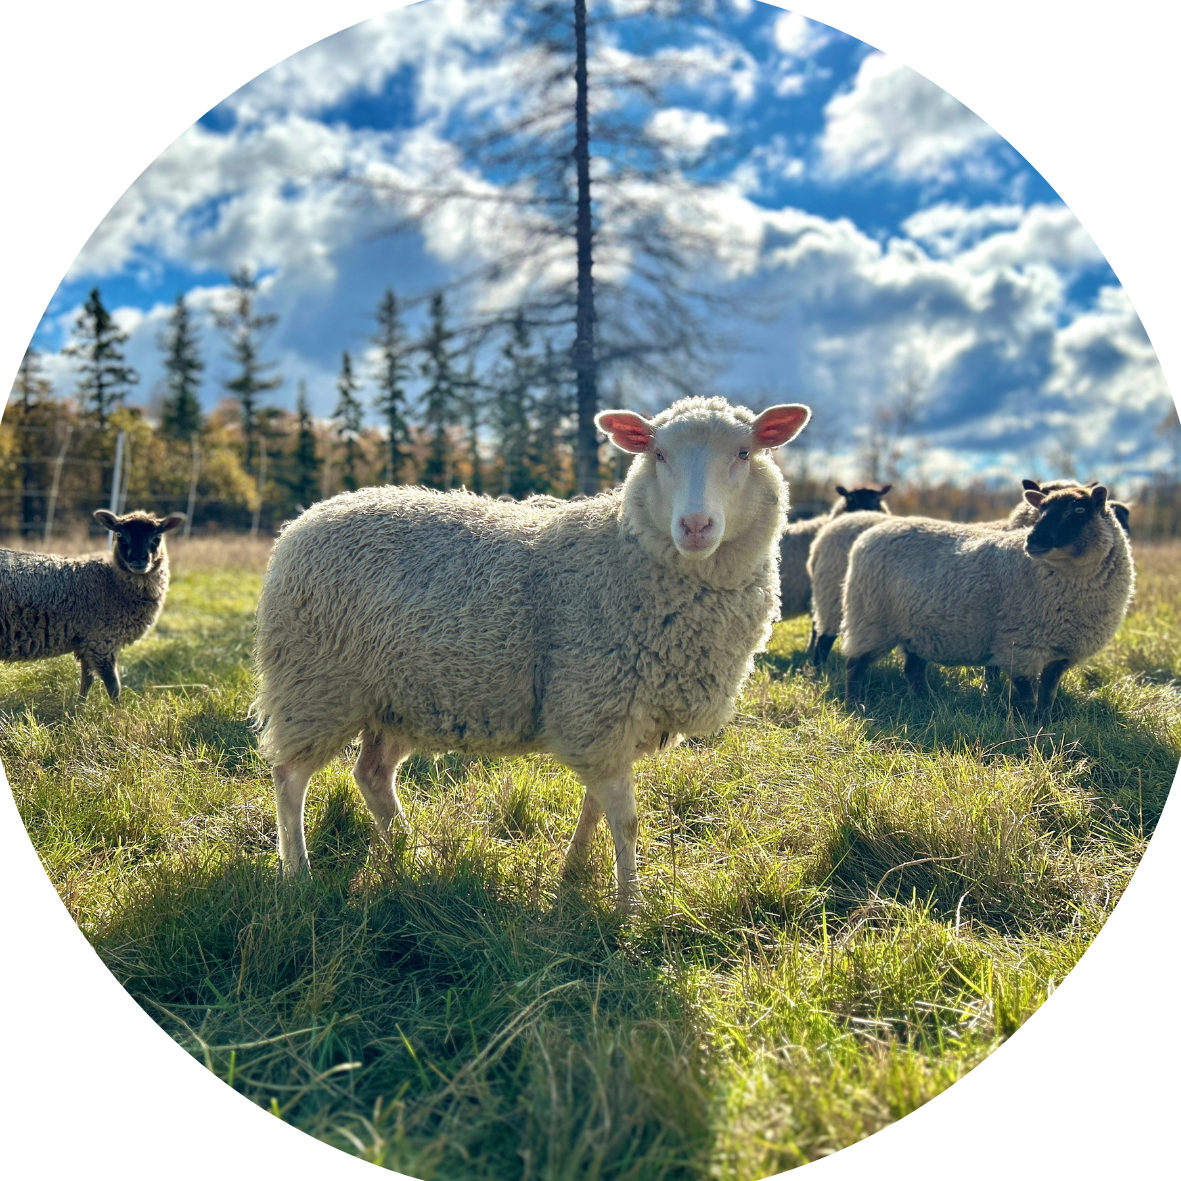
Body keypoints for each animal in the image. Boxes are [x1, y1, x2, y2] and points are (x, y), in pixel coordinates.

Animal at [0, 509, 186, 700]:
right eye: (120, 534)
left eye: (158, 535)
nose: (138, 558)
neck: (112, 583)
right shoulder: (101, 641)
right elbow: (113, 686)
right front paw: (116, 708)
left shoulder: (87, 643)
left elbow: (86, 681)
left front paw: (79, 704)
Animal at [251, 396, 811, 911]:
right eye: (658, 453)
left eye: (744, 452)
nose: (695, 526)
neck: (625, 553)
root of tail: (303, 521)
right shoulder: (596, 705)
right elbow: (627, 821)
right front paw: (630, 907)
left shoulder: (608, 717)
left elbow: (595, 809)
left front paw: (574, 872)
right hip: (316, 683)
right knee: (289, 778)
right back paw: (297, 873)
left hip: (397, 698)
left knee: (371, 775)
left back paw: (409, 851)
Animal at [841, 485, 1134, 719]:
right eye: (1041, 510)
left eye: (1079, 510)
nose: (1032, 540)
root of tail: (870, 534)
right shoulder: (1021, 645)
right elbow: (1027, 695)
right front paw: (1029, 727)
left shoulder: (1062, 653)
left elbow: (1048, 694)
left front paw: (1046, 722)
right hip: (870, 619)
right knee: (855, 665)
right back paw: (855, 704)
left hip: (918, 628)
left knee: (913, 670)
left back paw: (929, 703)